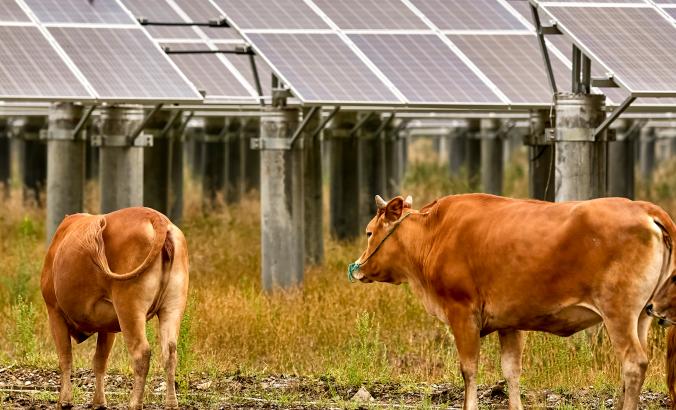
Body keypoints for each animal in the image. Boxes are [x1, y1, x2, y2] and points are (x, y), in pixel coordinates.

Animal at [41, 208, 189, 410]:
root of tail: (157, 217)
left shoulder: (54, 311)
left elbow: (65, 357)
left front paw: (64, 401)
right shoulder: (108, 325)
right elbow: (100, 361)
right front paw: (99, 402)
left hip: (128, 307)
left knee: (142, 352)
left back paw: (134, 403)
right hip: (172, 306)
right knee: (170, 352)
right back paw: (171, 403)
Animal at [352, 195, 676, 410]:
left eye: (368, 232)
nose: (357, 269)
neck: (435, 234)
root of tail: (643, 207)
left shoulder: (462, 313)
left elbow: (469, 369)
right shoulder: (510, 322)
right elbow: (511, 370)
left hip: (618, 313)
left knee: (633, 363)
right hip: (641, 316)